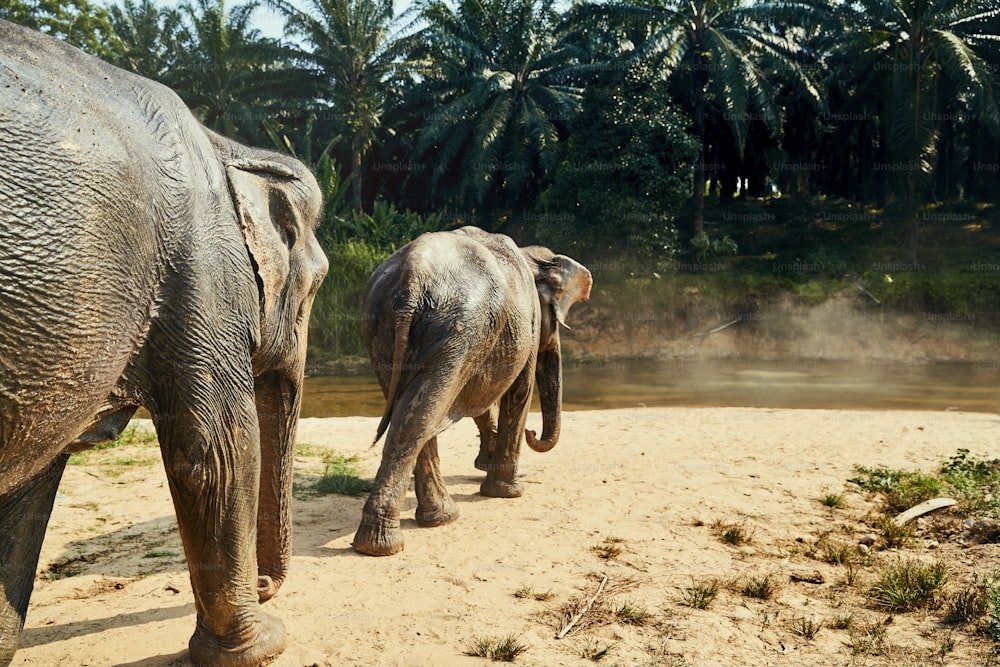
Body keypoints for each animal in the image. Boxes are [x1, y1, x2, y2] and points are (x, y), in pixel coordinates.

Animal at [0, 20, 328, 667]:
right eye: (318, 284)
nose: (264, 583)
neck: (228, 145)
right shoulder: (199, 270)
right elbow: (217, 452)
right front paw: (263, 646)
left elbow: (27, 492)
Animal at [352, 227, 588, 556]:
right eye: (554, 317)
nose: (533, 434)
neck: (531, 258)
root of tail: (413, 273)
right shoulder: (526, 324)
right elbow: (518, 391)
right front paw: (509, 492)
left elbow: (482, 394)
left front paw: (486, 466)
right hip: (455, 329)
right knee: (420, 419)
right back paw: (386, 544)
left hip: (383, 327)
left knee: (415, 412)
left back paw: (436, 520)